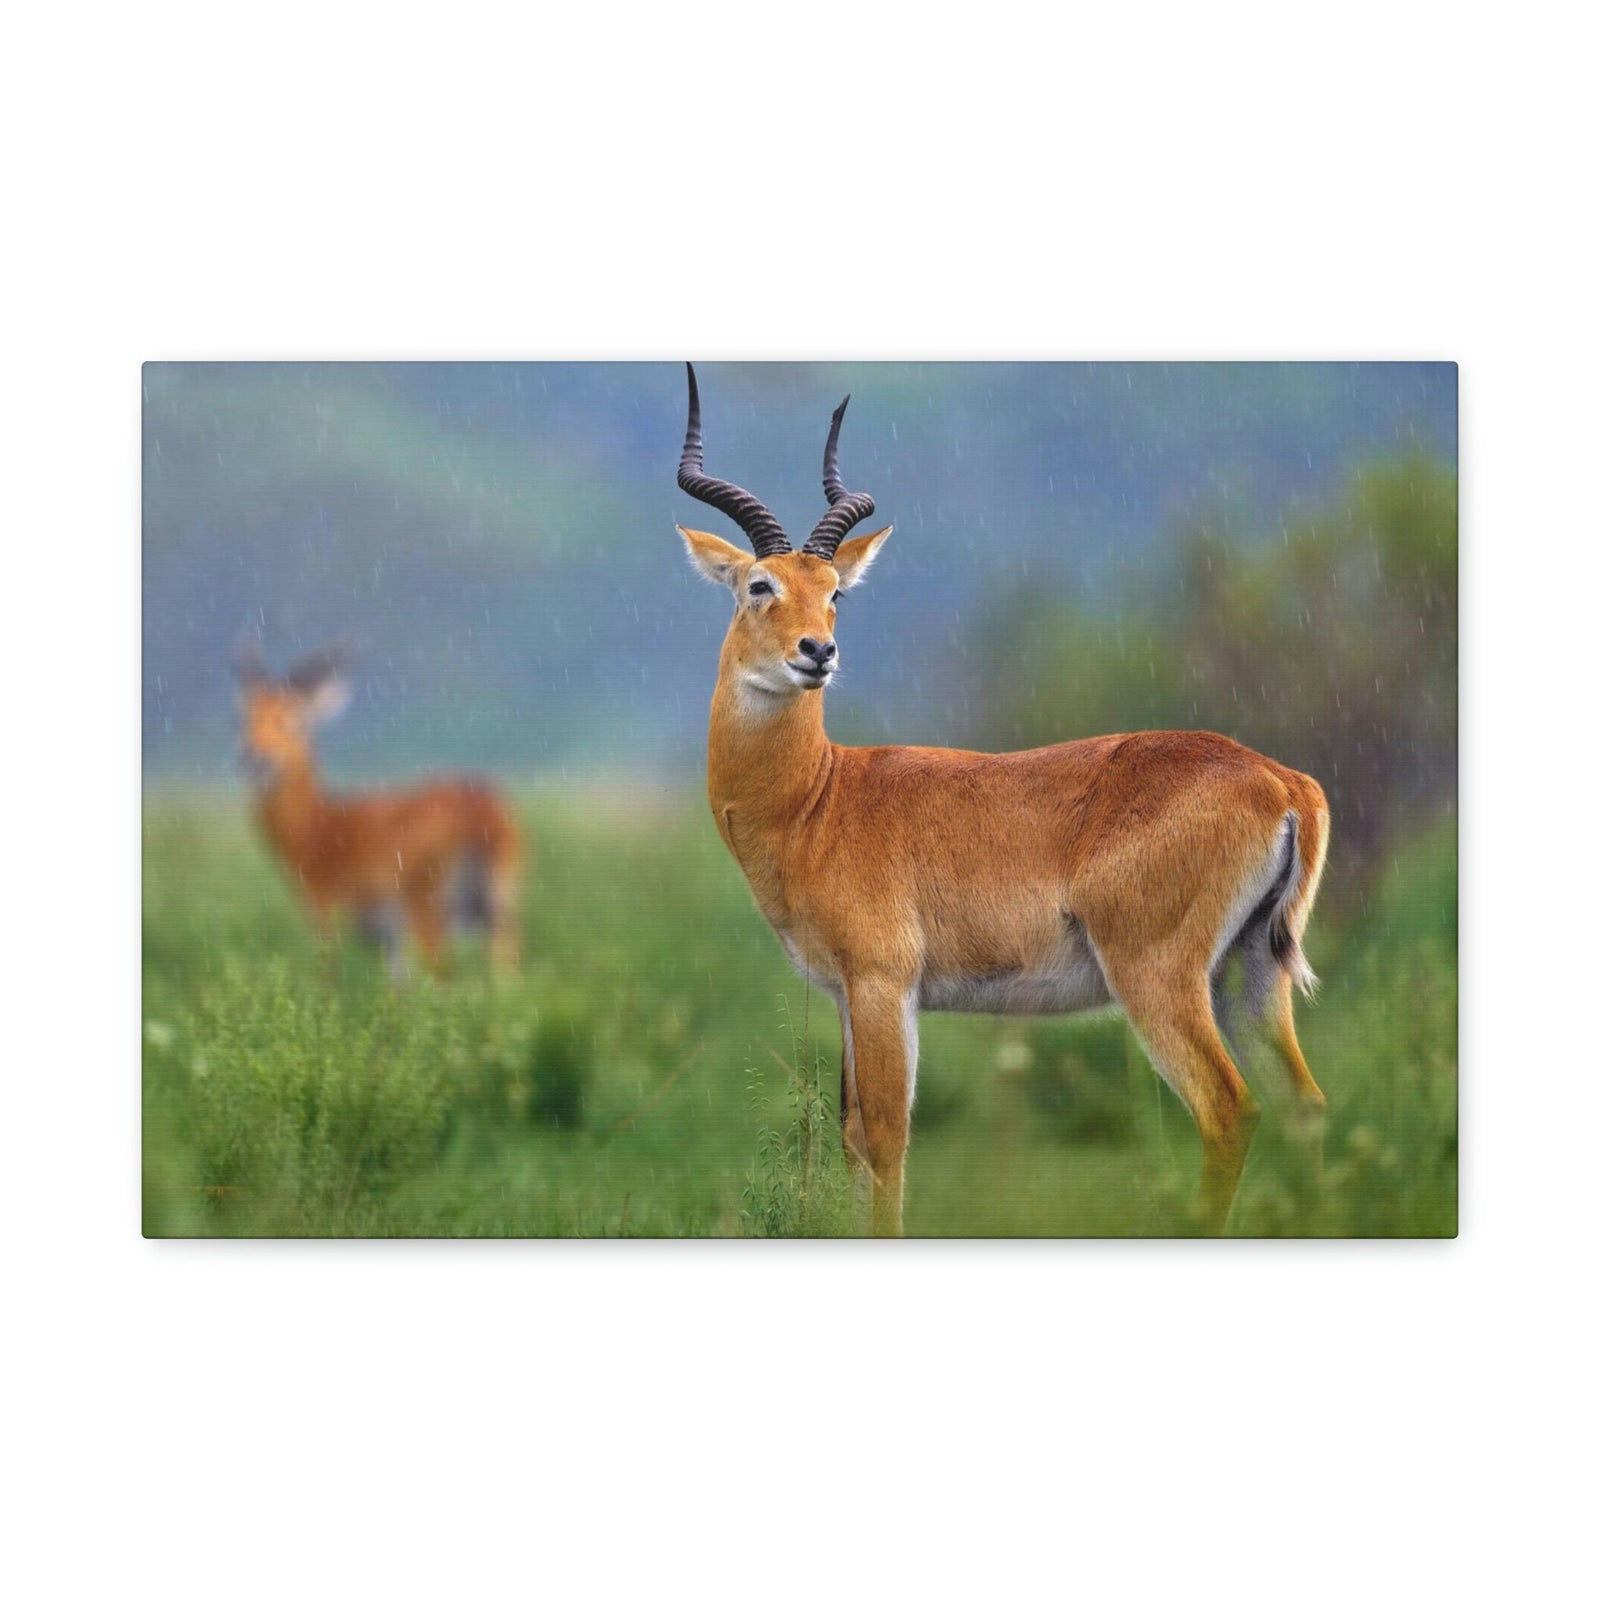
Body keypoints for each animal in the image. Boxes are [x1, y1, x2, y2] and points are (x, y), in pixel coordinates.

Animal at [234, 642, 522, 978]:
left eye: (293, 718)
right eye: (243, 719)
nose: (253, 757)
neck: (318, 826)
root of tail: (481, 810)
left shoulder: (324, 911)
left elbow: (327, 975)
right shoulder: (391, 940)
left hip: (428, 909)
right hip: (497, 906)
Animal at [675, 364, 1329, 1236]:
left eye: (836, 592)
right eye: (760, 583)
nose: (818, 652)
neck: (818, 798)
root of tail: (1281, 781)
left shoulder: (882, 983)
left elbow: (885, 1139)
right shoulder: (848, 993)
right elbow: (852, 1137)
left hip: (1159, 976)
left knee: (1230, 1109)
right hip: (1251, 973)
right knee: (1305, 1107)